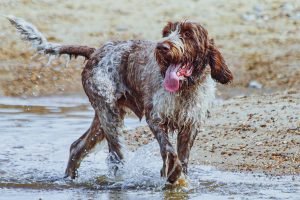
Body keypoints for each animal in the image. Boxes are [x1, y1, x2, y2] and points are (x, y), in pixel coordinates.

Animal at [6, 16, 232, 184]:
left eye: (187, 34)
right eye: (166, 33)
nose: (162, 47)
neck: (185, 88)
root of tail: (95, 51)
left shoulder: (190, 125)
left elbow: (182, 156)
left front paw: (178, 177)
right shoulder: (155, 119)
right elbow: (169, 150)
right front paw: (171, 173)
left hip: (102, 120)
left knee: (77, 147)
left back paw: (69, 179)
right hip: (109, 115)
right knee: (115, 158)